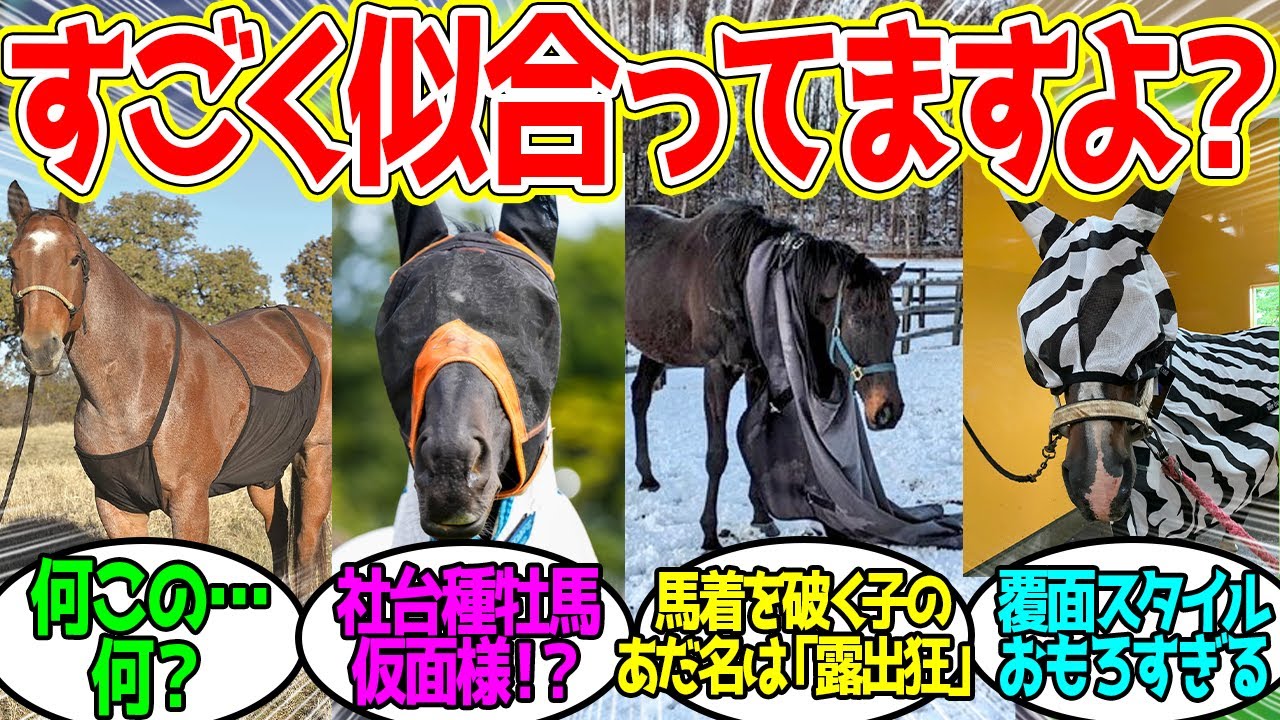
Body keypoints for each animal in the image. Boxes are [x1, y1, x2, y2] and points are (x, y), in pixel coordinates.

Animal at [5, 182, 332, 593]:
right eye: (11, 261)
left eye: (75, 259)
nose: (39, 349)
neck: (132, 389)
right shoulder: (117, 506)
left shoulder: (190, 503)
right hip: (263, 468)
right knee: (278, 525)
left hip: (316, 454)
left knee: (306, 535)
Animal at [626, 199, 904, 550]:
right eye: (856, 321)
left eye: (896, 321)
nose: (889, 410)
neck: (744, 277)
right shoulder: (718, 371)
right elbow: (717, 455)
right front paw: (709, 534)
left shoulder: (757, 372)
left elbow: (754, 442)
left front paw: (762, 518)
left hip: (654, 346)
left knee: (640, 397)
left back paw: (647, 478)